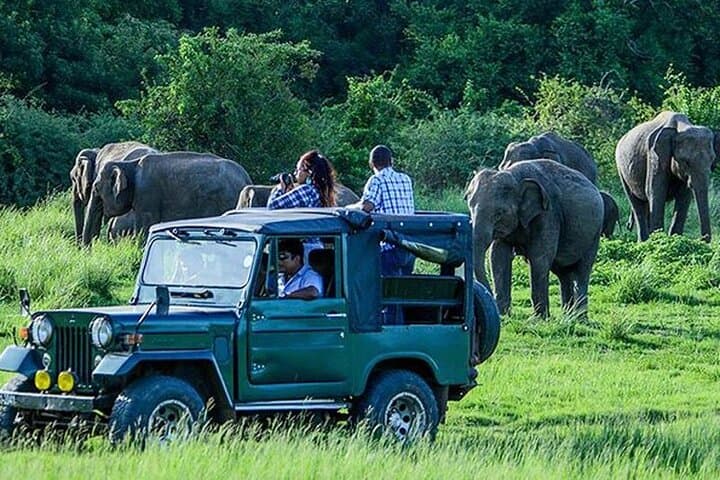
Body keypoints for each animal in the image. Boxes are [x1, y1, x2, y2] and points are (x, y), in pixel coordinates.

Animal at [83, 152, 253, 244]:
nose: (88, 252)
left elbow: (145, 227)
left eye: (96, 188)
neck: (129, 165)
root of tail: (246, 178)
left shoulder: (147, 194)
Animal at [466, 160, 604, 318]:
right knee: (564, 273)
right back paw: (567, 317)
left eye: (499, 213)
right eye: (470, 207)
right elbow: (498, 257)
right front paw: (503, 315)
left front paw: (538, 319)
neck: (514, 176)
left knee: (582, 271)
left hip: (594, 234)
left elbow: (539, 258)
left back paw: (579, 319)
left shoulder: (548, 213)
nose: (489, 299)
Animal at [616, 111, 720, 242]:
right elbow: (656, 191)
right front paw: (659, 240)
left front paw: (674, 239)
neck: (681, 126)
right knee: (636, 204)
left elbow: (684, 197)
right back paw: (643, 242)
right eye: (686, 162)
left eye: (712, 161)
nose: (702, 240)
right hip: (621, 169)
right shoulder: (656, 155)